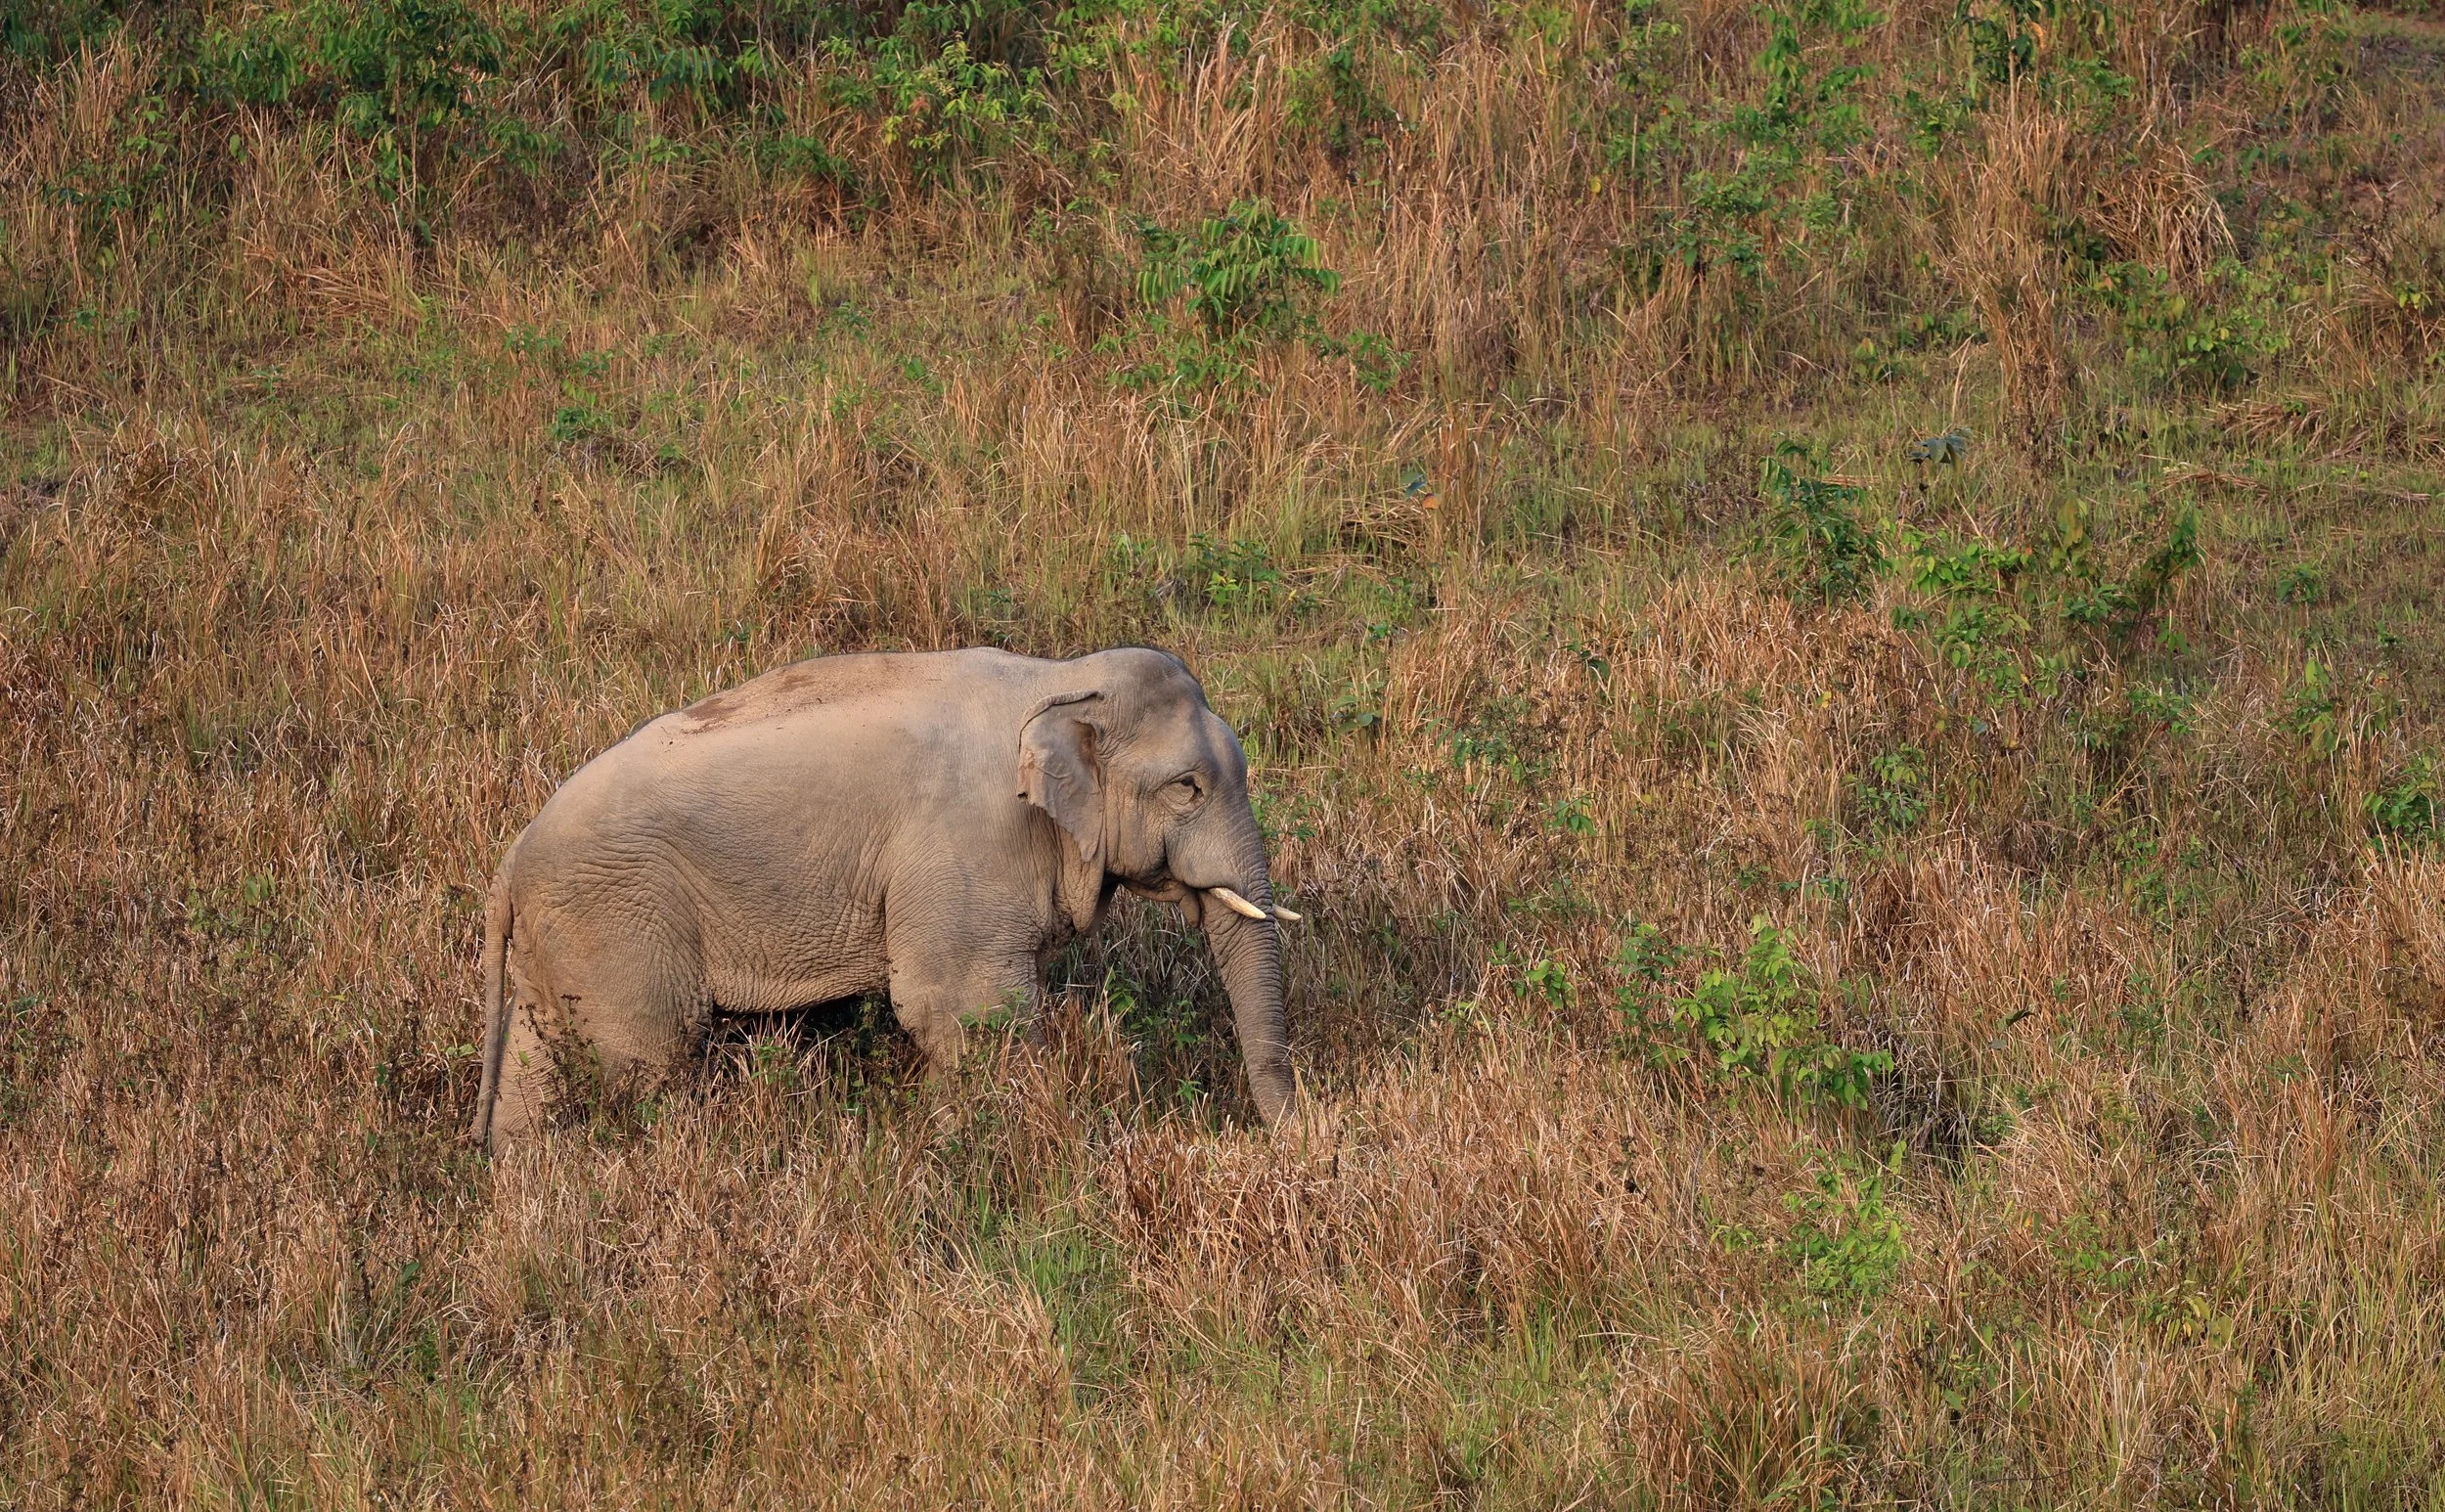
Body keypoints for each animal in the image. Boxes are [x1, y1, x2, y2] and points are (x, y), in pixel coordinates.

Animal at [469, 645, 1300, 1147]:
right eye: (1188, 788)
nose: (1291, 1139)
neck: (1057, 680)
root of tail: (507, 865)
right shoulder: (965, 845)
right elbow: (963, 1008)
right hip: (618, 919)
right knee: (649, 1059)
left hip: (561, 942)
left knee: (534, 1077)